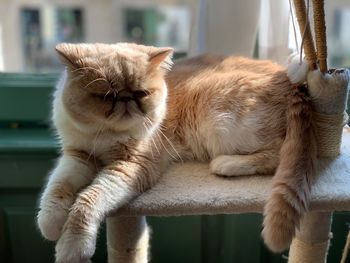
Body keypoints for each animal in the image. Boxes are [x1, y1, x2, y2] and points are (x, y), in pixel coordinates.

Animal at [37, 42, 316, 262]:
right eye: (106, 96)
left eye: (141, 93)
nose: (127, 100)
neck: (105, 135)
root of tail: (295, 84)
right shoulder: (78, 156)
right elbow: (57, 186)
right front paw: (50, 223)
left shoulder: (130, 166)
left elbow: (89, 199)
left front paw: (71, 247)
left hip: (222, 123)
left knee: (276, 156)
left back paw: (225, 165)